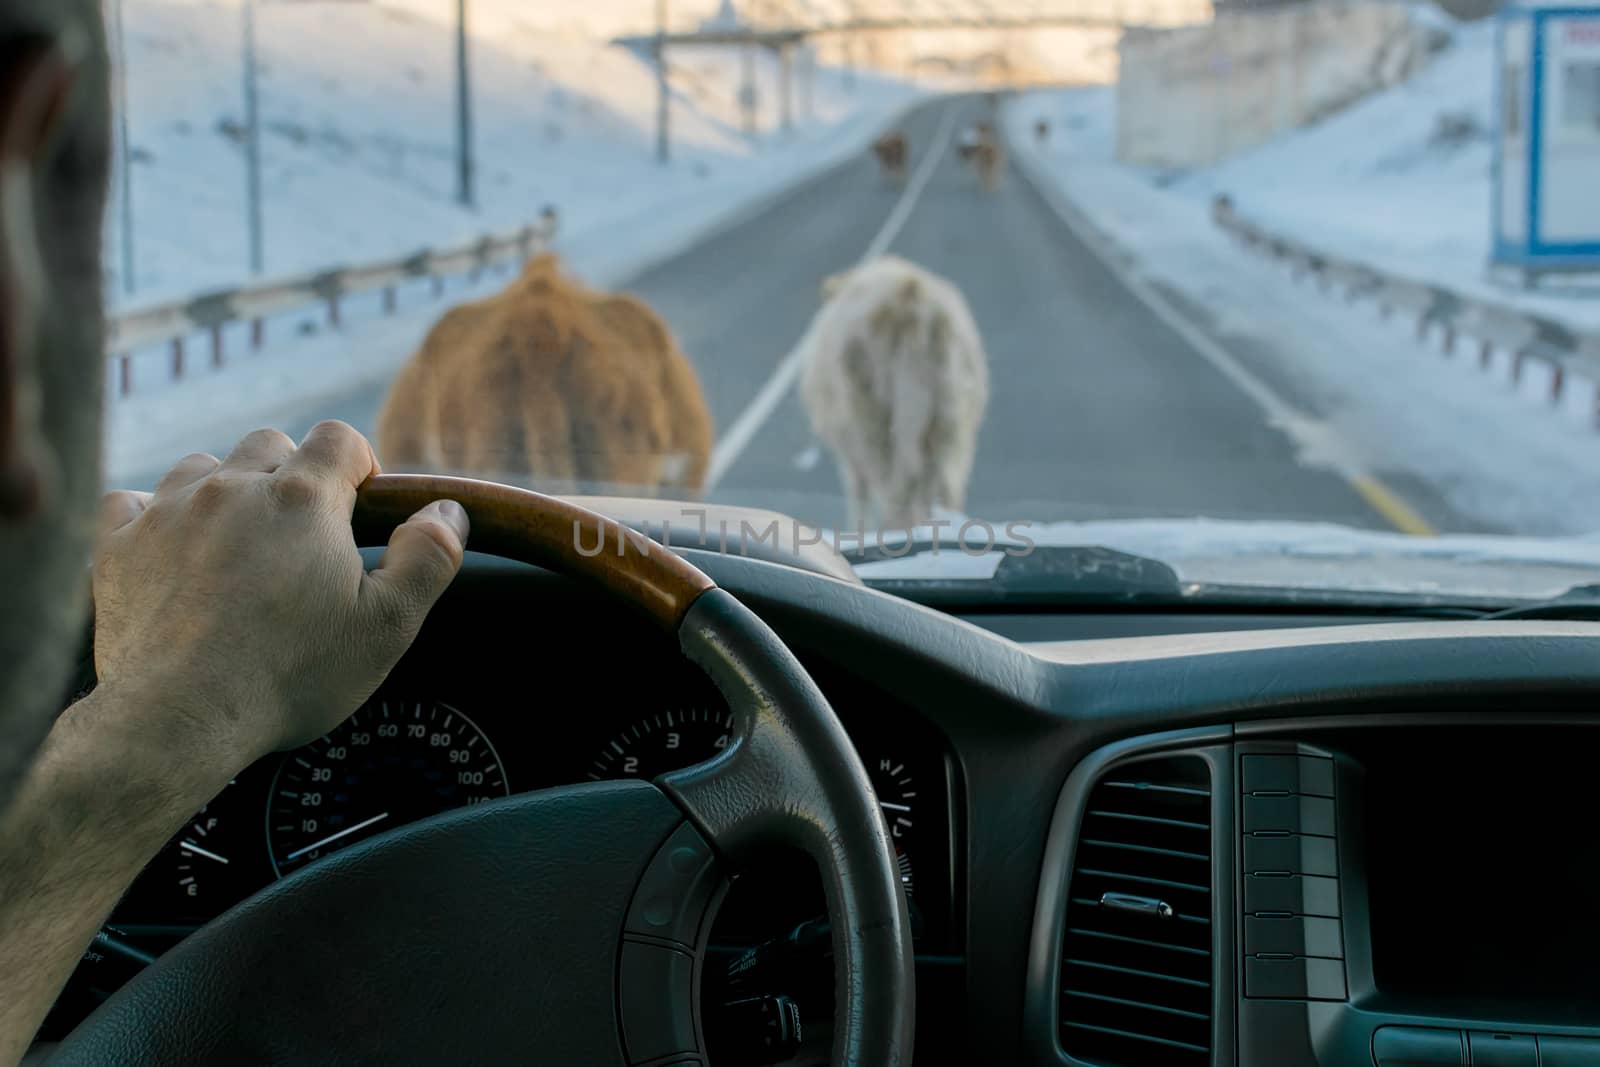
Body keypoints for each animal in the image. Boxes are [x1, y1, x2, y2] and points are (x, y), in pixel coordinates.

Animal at [796, 251, 985, 534]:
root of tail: (911, 305)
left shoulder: (850, 452)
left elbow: (859, 495)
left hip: (873, 419)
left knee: (895, 488)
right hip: (949, 417)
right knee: (942, 485)